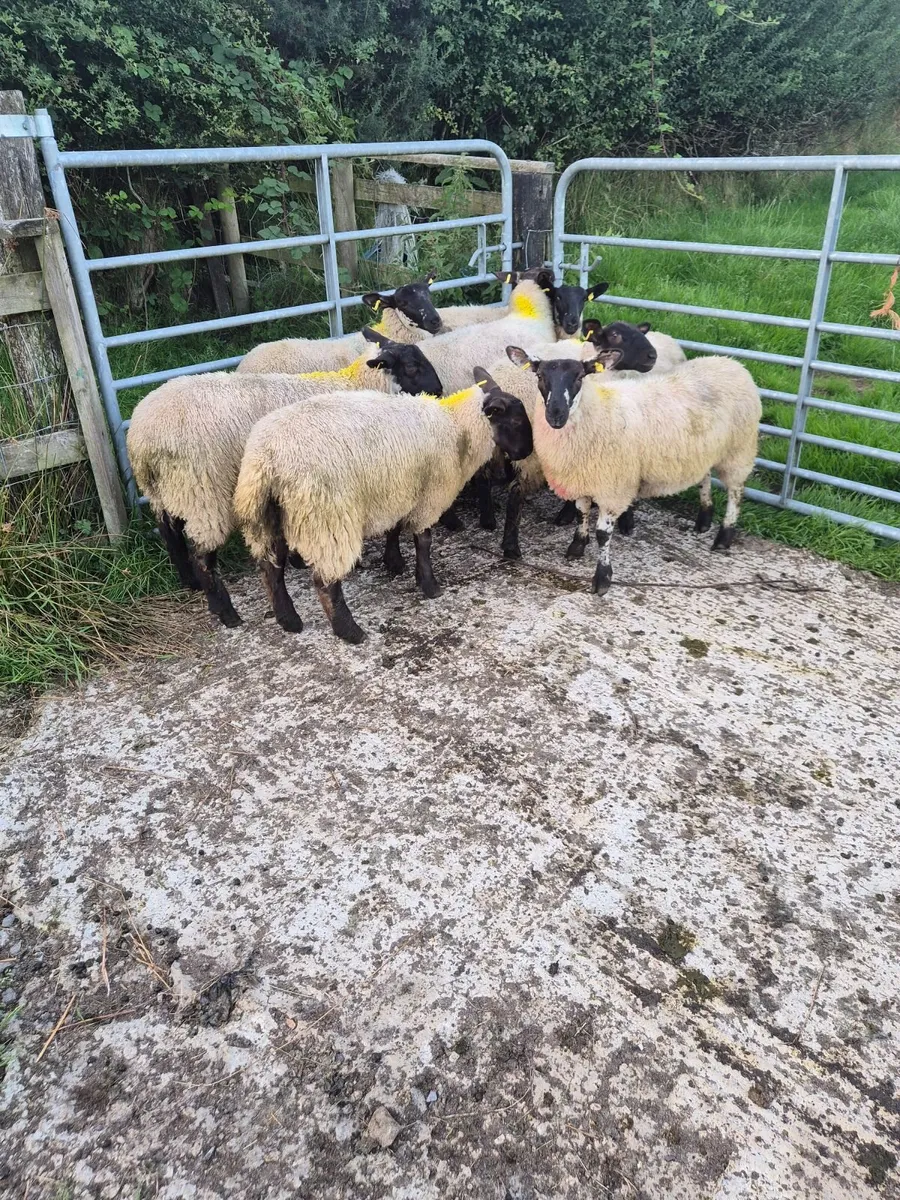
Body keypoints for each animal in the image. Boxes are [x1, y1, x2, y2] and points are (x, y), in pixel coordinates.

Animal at [126, 349, 443, 627]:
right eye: (412, 367)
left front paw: (296, 558)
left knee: (170, 536)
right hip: (202, 491)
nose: (440, 392)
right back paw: (226, 612)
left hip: (165, 491)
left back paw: (190, 582)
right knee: (202, 554)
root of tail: (142, 437)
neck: (356, 384)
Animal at [232, 371, 533, 642]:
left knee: (271, 568)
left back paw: (289, 620)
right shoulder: (427, 496)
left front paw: (394, 562)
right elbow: (424, 541)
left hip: (270, 516)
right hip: (326, 515)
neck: (456, 428)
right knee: (325, 581)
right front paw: (429, 585)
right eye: (517, 420)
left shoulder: (399, 490)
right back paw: (349, 631)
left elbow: (395, 528)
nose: (528, 452)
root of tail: (267, 457)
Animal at [507, 345, 761, 593]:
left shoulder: (613, 486)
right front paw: (577, 546)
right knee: (705, 477)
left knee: (736, 491)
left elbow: (603, 534)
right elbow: (582, 512)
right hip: (704, 451)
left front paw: (602, 578)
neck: (597, 412)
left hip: (739, 450)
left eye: (580, 377)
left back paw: (724, 536)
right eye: (540, 376)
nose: (556, 414)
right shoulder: (582, 477)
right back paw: (704, 519)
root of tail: (731, 362)